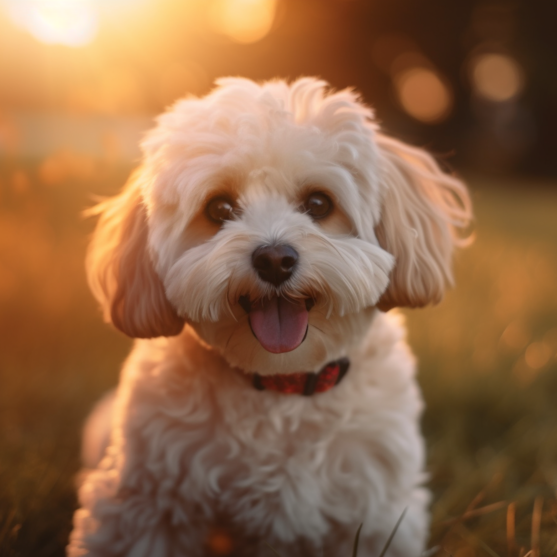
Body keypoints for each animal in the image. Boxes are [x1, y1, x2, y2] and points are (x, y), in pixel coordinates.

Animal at [67, 78, 472, 556]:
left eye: (318, 202)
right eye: (219, 209)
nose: (275, 259)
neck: (281, 384)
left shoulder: (376, 513)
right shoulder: (148, 502)